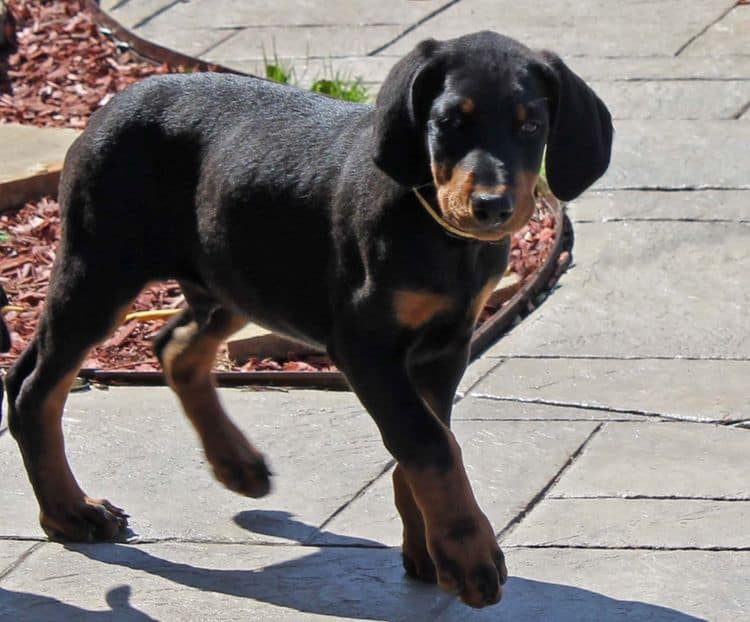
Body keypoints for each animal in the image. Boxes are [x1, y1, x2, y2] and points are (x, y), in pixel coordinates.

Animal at [2, 30, 612, 608]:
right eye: (448, 123)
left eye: (531, 125)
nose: (491, 208)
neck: (438, 231)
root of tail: (112, 103)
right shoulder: (364, 345)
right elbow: (429, 442)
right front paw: (468, 555)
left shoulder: (447, 342)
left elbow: (424, 439)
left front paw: (426, 547)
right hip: (101, 270)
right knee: (35, 386)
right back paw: (69, 511)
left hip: (238, 278)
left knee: (175, 347)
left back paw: (235, 463)